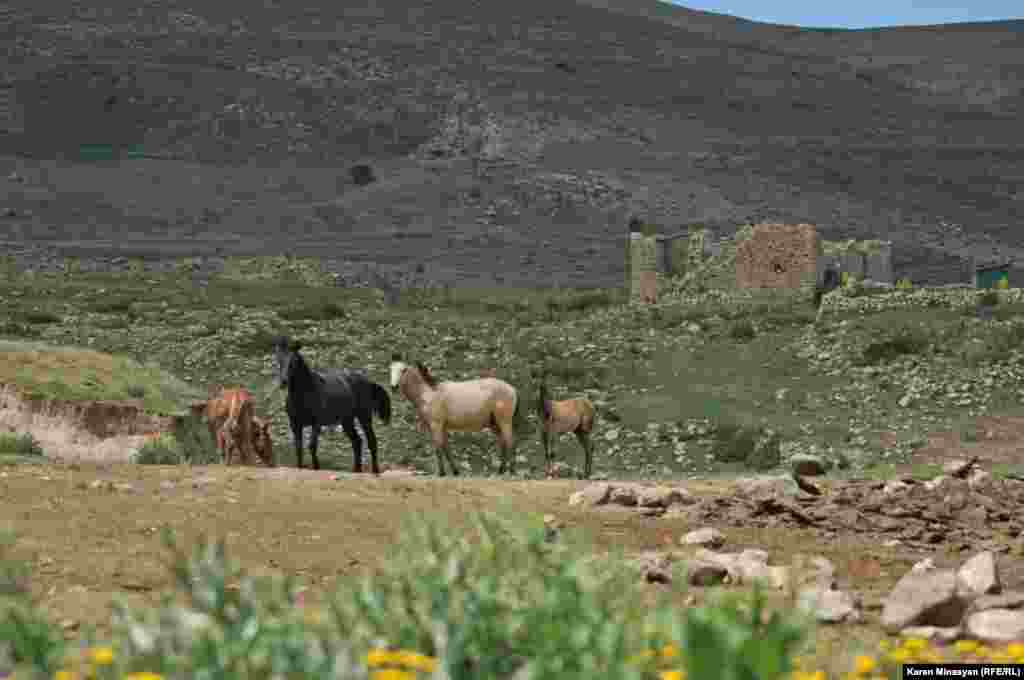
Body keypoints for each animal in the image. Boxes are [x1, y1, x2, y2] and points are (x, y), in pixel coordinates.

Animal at [272, 333, 391, 473]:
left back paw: (375, 471)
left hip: (364, 417)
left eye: (294, 361)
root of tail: (367, 381)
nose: (283, 382)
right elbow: (298, 449)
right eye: (278, 360)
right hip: (347, 420)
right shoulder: (295, 425)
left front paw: (316, 468)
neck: (305, 393)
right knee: (357, 441)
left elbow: (312, 446)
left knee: (371, 442)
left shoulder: (316, 424)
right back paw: (356, 470)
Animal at [391, 356, 520, 477]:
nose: (394, 387)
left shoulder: (436, 426)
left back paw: (512, 470)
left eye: (404, 370)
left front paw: (441, 473)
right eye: (391, 369)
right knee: (503, 442)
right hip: (494, 424)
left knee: (510, 441)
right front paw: (455, 471)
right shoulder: (443, 428)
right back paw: (501, 470)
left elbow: (438, 448)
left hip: (504, 422)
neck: (429, 394)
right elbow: (446, 448)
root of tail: (512, 389)